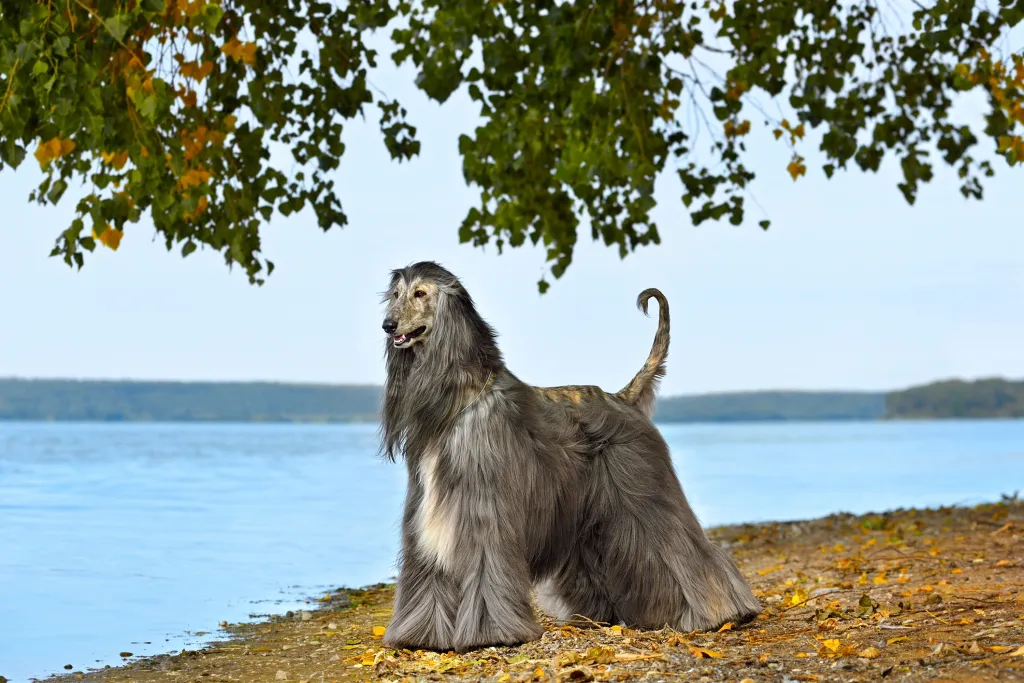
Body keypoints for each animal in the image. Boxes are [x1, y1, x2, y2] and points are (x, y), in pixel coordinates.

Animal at [378, 260, 761, 651]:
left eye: (420, 293)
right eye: (395, 294)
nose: (388, 325)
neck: (461, 401)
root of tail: (623, 398)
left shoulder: (485, 512)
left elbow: (486, 569)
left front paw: (491, 633)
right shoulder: (427, 516)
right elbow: (428, 575)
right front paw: (421, 635)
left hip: (645, 492)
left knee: (683, 550)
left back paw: (721, 612)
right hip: (589, 513)